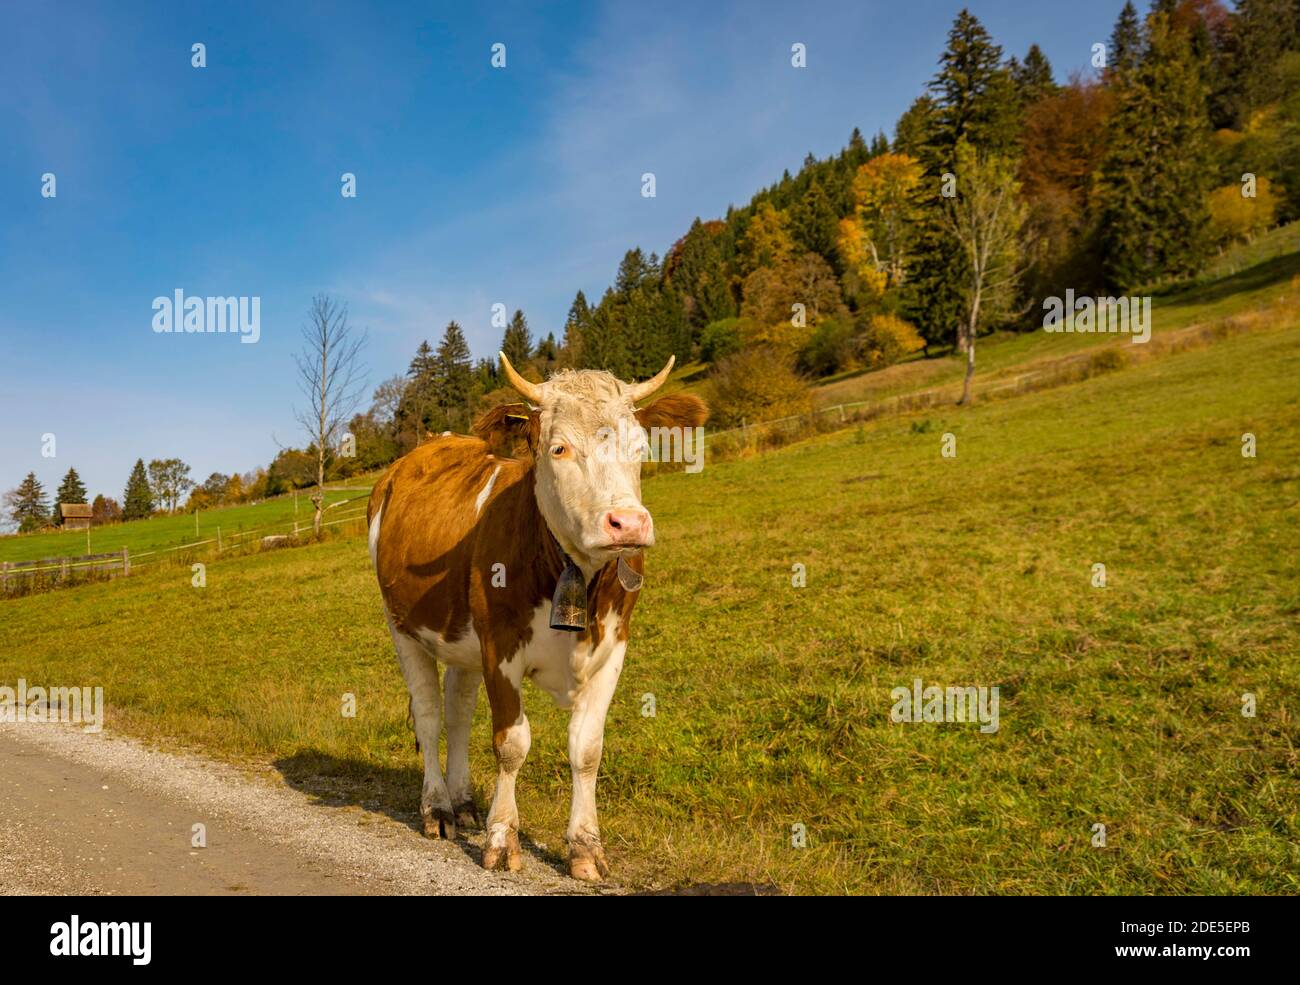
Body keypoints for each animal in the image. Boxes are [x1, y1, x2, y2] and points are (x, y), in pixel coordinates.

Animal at [366, 353, 712, 878]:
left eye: (639, 446)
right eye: (559, 448)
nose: (628, 524)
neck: (577, 575)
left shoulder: (614, 649)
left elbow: (587, 749)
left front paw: (586, 846)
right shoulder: (499, 647)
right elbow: (511, 744)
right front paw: (502, 838)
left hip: (462, 642)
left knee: (458, 712)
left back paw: (464, 803)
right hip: (402, 626)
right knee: (428, 715)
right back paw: (439, 808)